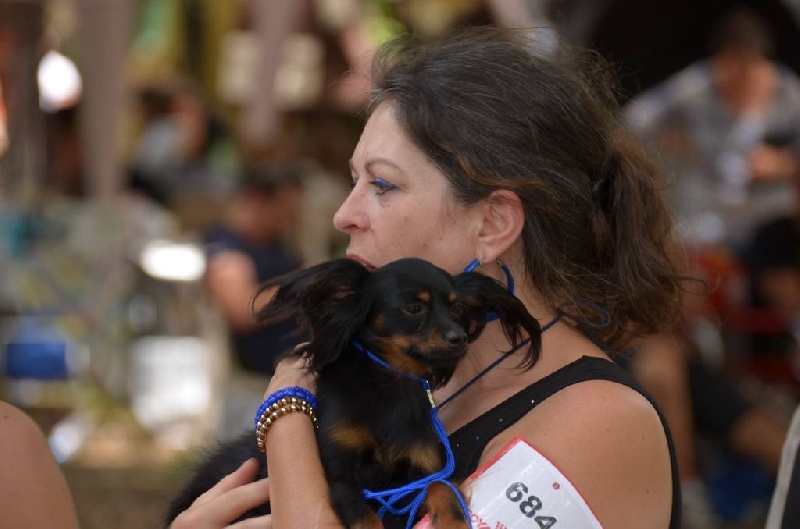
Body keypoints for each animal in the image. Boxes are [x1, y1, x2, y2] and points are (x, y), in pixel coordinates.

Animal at [165, 257, 541, 528]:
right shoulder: (340, 477)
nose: (458, 338)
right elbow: (364, 516)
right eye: (414, 308)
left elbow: (444, 490)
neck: (390, 386)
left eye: (457, 309)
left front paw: (455, 523)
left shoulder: (417, 476)